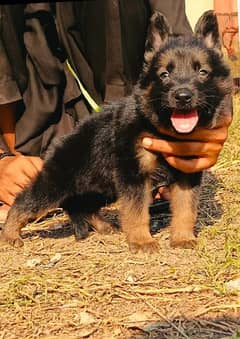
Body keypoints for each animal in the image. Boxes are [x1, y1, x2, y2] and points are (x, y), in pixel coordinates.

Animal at [0, 9, 232, 252]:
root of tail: (60, 143)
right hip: (56, 184)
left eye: (202, 72)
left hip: (101, 187)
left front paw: (182, 237)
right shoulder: (133, 176)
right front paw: (142, 240)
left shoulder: (186, 174)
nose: (183, 96)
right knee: (24, 201)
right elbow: (137, 212)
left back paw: (104, 226)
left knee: (82, 206)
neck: (161, 129)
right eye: (164, 75)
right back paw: (10, 234)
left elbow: (186, 209)